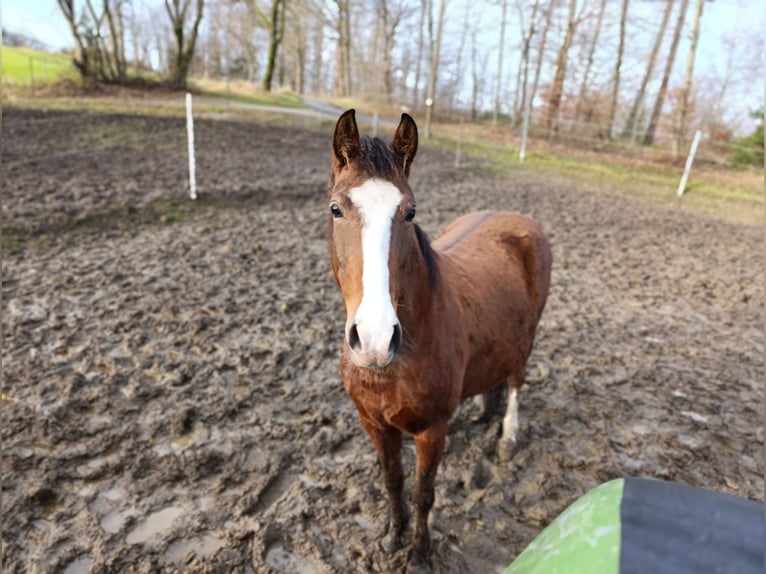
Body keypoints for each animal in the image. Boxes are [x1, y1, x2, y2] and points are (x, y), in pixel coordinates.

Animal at [327, 109, 552, 572]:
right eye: (336, 208)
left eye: (409, 212)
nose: (375, 338)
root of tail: (520, 221)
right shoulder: (374, 424)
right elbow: (393, 482)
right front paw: (392, 537)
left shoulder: (431, 431)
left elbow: (423, 492)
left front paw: (419, 552)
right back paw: (483, 412)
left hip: (527, 340)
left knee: (516, 382)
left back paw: (506, 437)